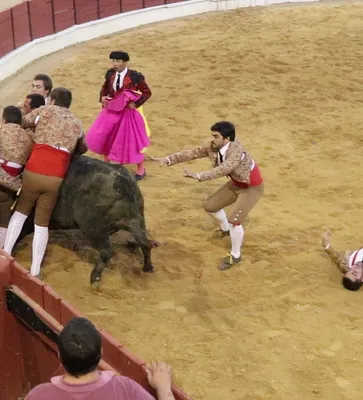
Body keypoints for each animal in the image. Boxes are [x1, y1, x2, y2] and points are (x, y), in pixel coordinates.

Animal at [15, 155, 155, 286]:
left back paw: (95, 277)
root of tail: (122, 181)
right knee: (145, 243)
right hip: (135, 221)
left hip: (93, 230)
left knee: (107, 251)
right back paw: (147, 267)